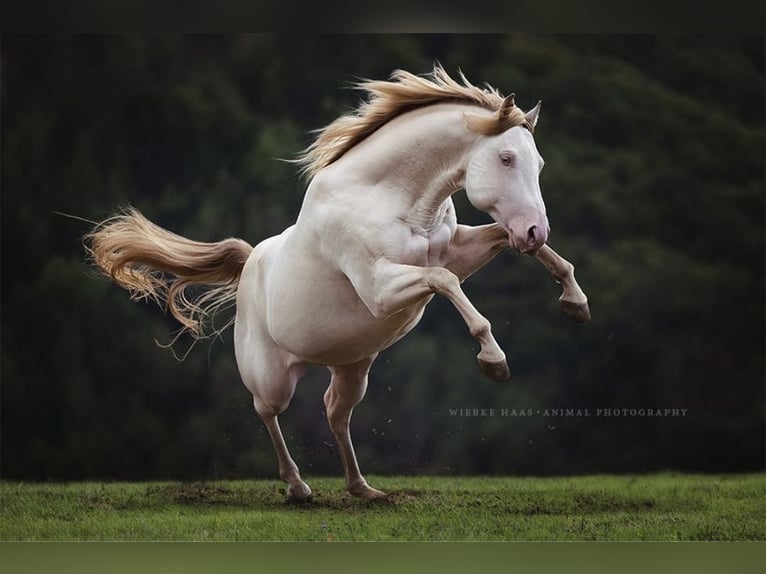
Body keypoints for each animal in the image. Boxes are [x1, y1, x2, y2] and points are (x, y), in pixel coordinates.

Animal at [85, 65, 590, 501]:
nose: (535, 229)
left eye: (539, 163)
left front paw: (575, 303)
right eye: (506, 158)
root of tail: (249, 265)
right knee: (267, 412)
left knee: (334, 411)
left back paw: (362, 488)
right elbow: (445, 281)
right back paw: (298, 488)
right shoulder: (381, 290)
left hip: (353, 367)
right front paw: (494, 360)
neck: (388, 197)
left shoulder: (458, 251)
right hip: (272, 377)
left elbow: (508, 250)